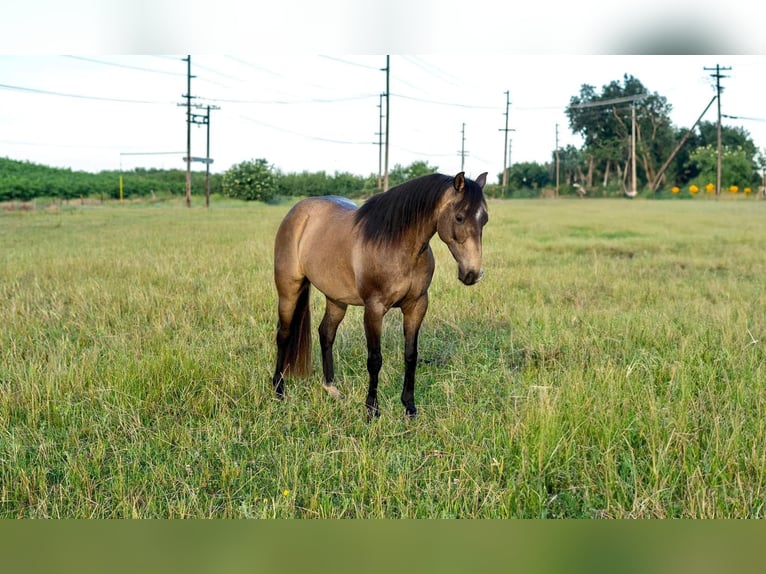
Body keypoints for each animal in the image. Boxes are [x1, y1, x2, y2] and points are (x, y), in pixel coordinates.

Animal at [272, 171, 486, 418]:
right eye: (459, 218)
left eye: (484, 219)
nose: (473, 274)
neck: (397, 246)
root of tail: (297, 212)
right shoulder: (374, 309)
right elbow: (374, 359)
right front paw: (372, 409)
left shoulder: (417, 305)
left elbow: (410, 355)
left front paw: (409, 407)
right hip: (289, 290)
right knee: (284, 334)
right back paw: (278, 390)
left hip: (336, 299)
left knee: (326, 333)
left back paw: (331, 388)